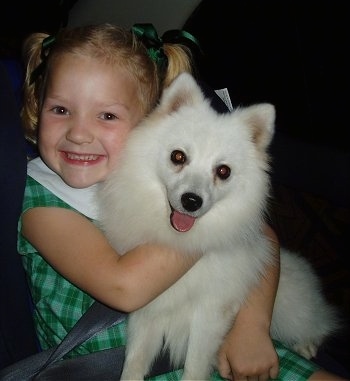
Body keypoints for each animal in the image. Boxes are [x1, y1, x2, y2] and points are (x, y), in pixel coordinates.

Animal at [97, 72, 338, 380]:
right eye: (178, 156)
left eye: (223, 171)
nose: (191, 201)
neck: (181, 243)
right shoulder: (147, 310)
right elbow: (135, 361)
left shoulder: (210, 314)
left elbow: (195, 365)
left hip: (290, 308)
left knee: (318, 321)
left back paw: (307, 343)